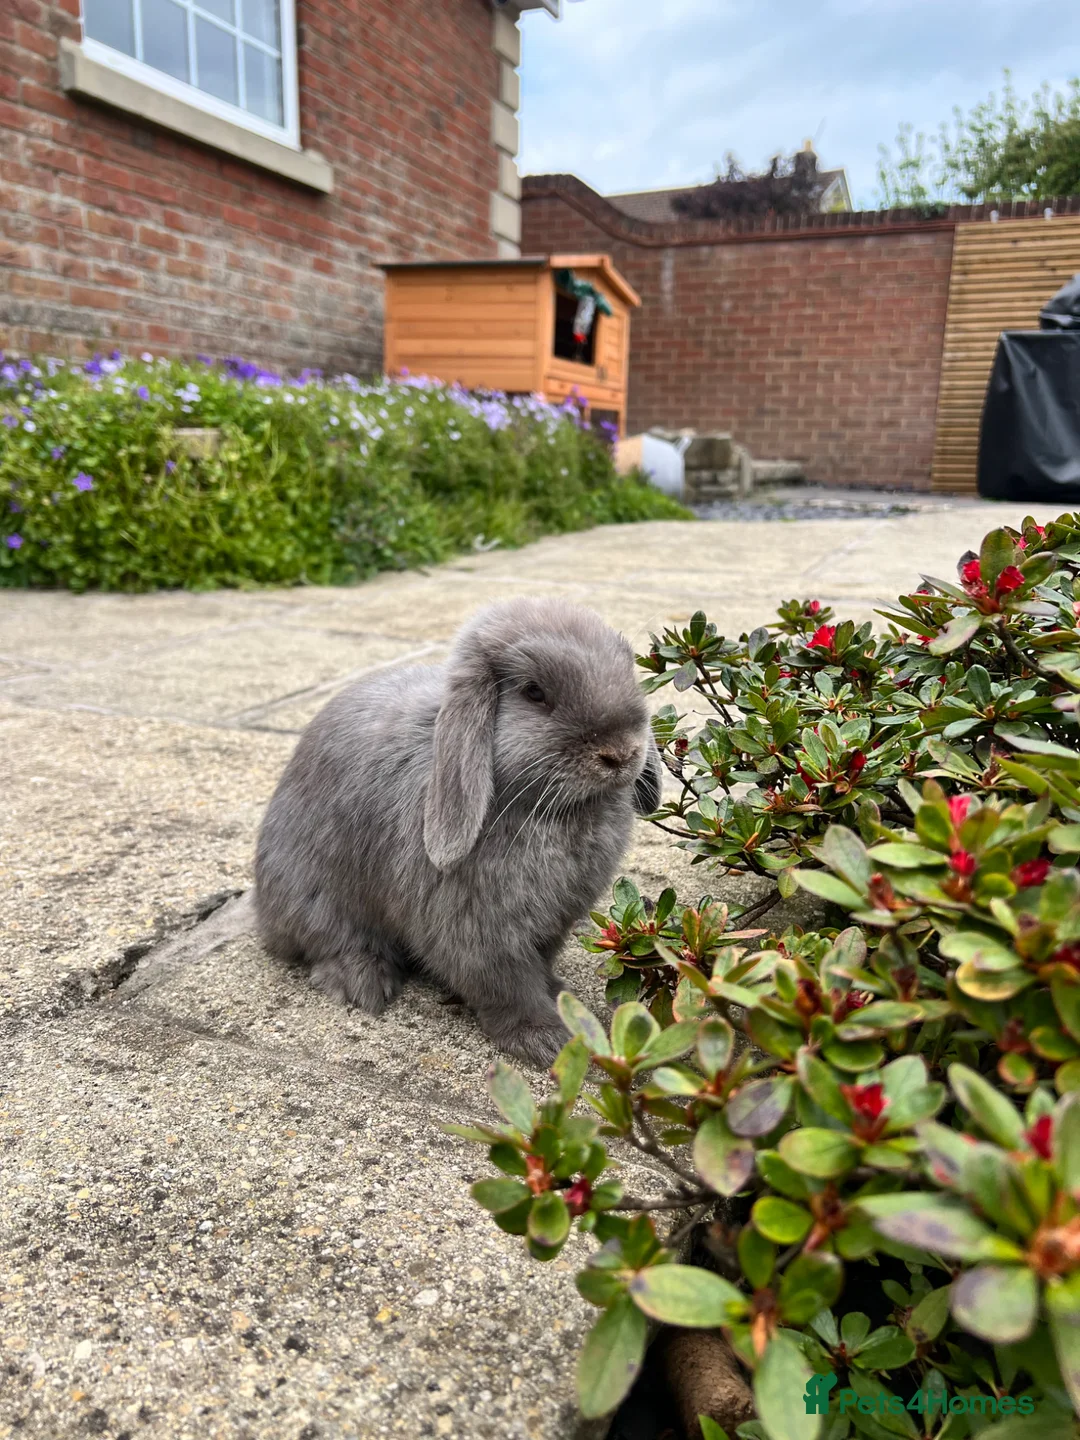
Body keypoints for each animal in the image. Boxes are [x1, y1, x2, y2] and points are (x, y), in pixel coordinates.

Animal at [254, 596, 664, 1068]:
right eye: (534, 692)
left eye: (628, 670)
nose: (621, 753)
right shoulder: (474, 931)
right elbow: (506, 987)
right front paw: (548, 1040)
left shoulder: (554, 922)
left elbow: (539, 967)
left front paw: (562, 997)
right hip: (314, 896)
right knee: (327, 943)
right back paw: (364, 983)